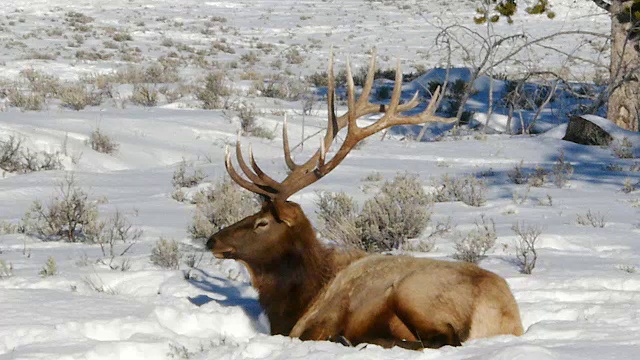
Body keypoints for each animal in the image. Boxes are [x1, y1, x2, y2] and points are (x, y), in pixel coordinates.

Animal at [208, 50, 524, 348]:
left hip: (415, 293)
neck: (301, 298)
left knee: (444, 338)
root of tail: (501, 316)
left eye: (261, 222)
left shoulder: (319, 322)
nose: (212, 240)